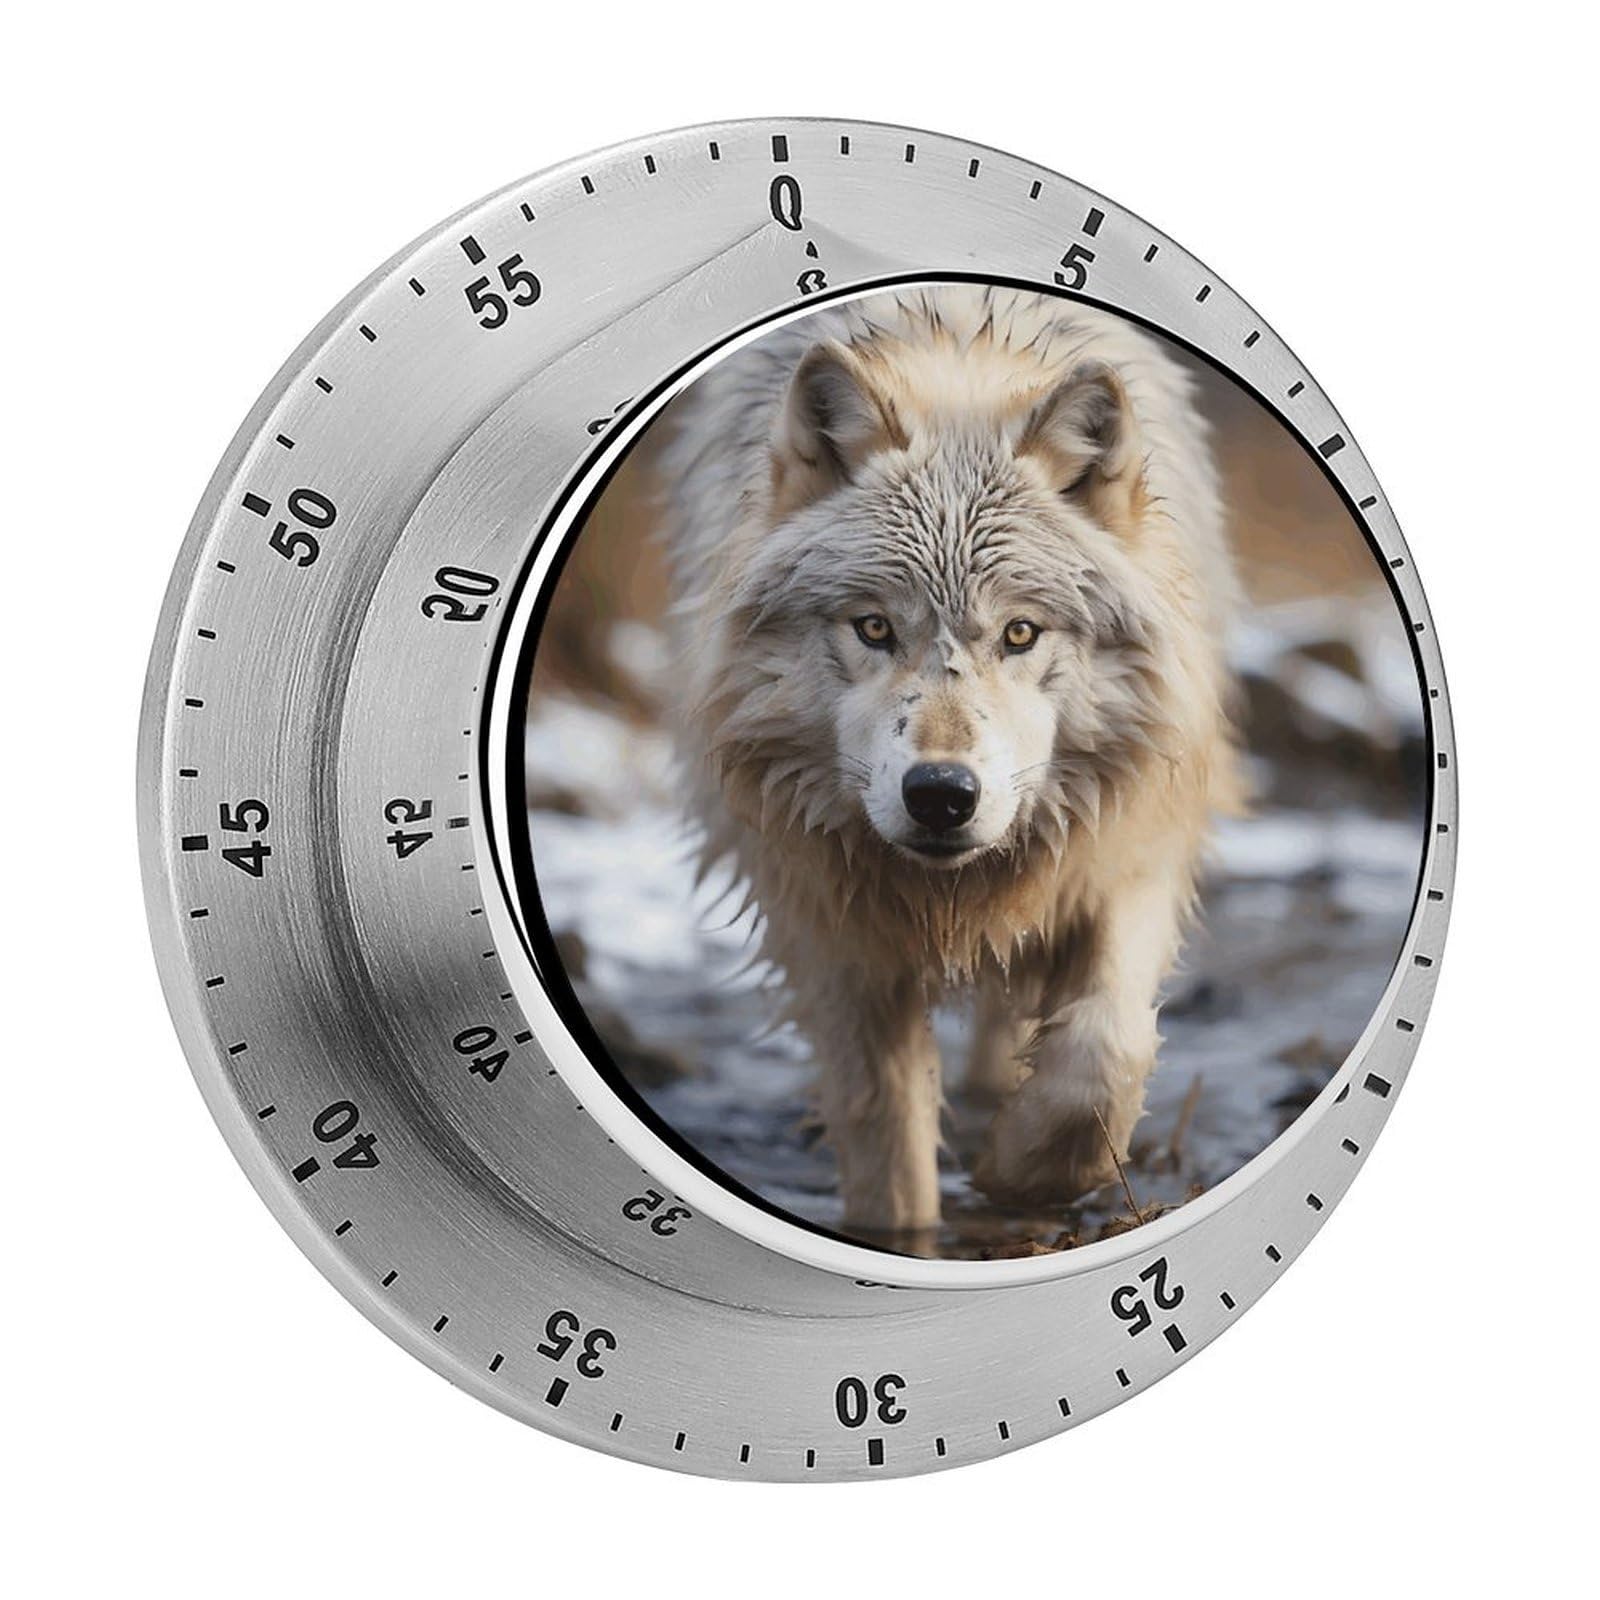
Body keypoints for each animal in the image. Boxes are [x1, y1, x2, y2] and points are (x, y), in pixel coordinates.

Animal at [657, 284, 1241, 1240]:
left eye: (1020, 633)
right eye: (873, 628)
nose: (940, 795)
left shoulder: (1126, 845)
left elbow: (1103, 1054)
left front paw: (1018, 1174)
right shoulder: (824, 923)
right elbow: (884, 1138)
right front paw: (908, 1238)